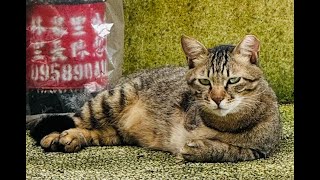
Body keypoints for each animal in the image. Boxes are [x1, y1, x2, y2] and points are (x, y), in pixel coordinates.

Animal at [28, 34, 282, 162]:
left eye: (233, 81)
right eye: (205, 82)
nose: (217, 99)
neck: (225, 123)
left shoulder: (257, 151)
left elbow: (227, 150)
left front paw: (201, 148)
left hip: (116, 133)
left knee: (95, 132)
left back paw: (71, 138)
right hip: (112, 99)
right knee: (73, 120)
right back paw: (55, 137)